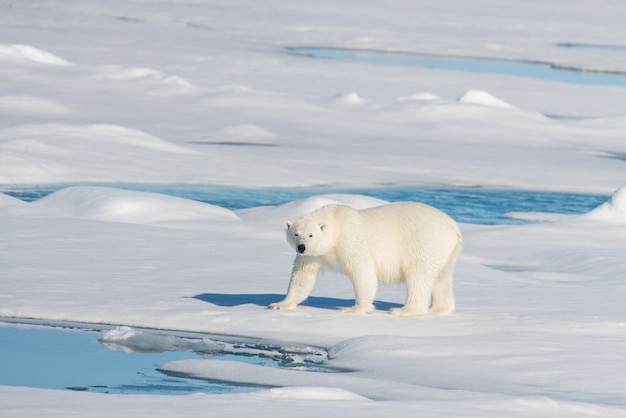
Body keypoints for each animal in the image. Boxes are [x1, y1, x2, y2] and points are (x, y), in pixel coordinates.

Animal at [266, 202, 460, 316]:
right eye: (295, 233)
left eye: (311, 235)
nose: (301, 247)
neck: (334, 225)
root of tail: (455, 228)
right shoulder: (313, 256)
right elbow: (302, 277)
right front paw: (279, 305)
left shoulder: (350, 240)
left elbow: (363, 272)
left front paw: (354, 308)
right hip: (446, 253)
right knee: (441, 279)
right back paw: (438, 309)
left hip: (424, 243)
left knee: (418, 275)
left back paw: (403, 310)